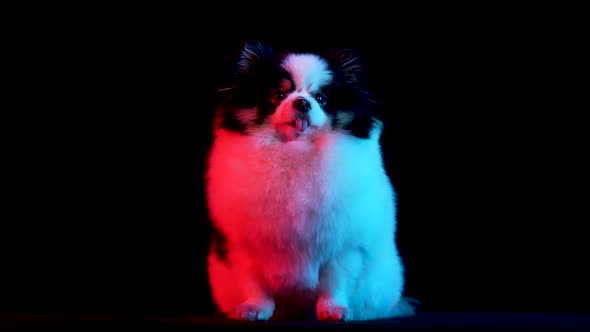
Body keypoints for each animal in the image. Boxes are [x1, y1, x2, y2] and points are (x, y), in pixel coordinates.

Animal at [206, 39, 414, 322]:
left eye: (321, 99)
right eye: (278, 95)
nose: (302, 103)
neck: (295, 152)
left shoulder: (342, 244)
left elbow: (334, 281)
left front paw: (334, 311)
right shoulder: (244, 245)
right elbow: (255, 283)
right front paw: (255, 309)